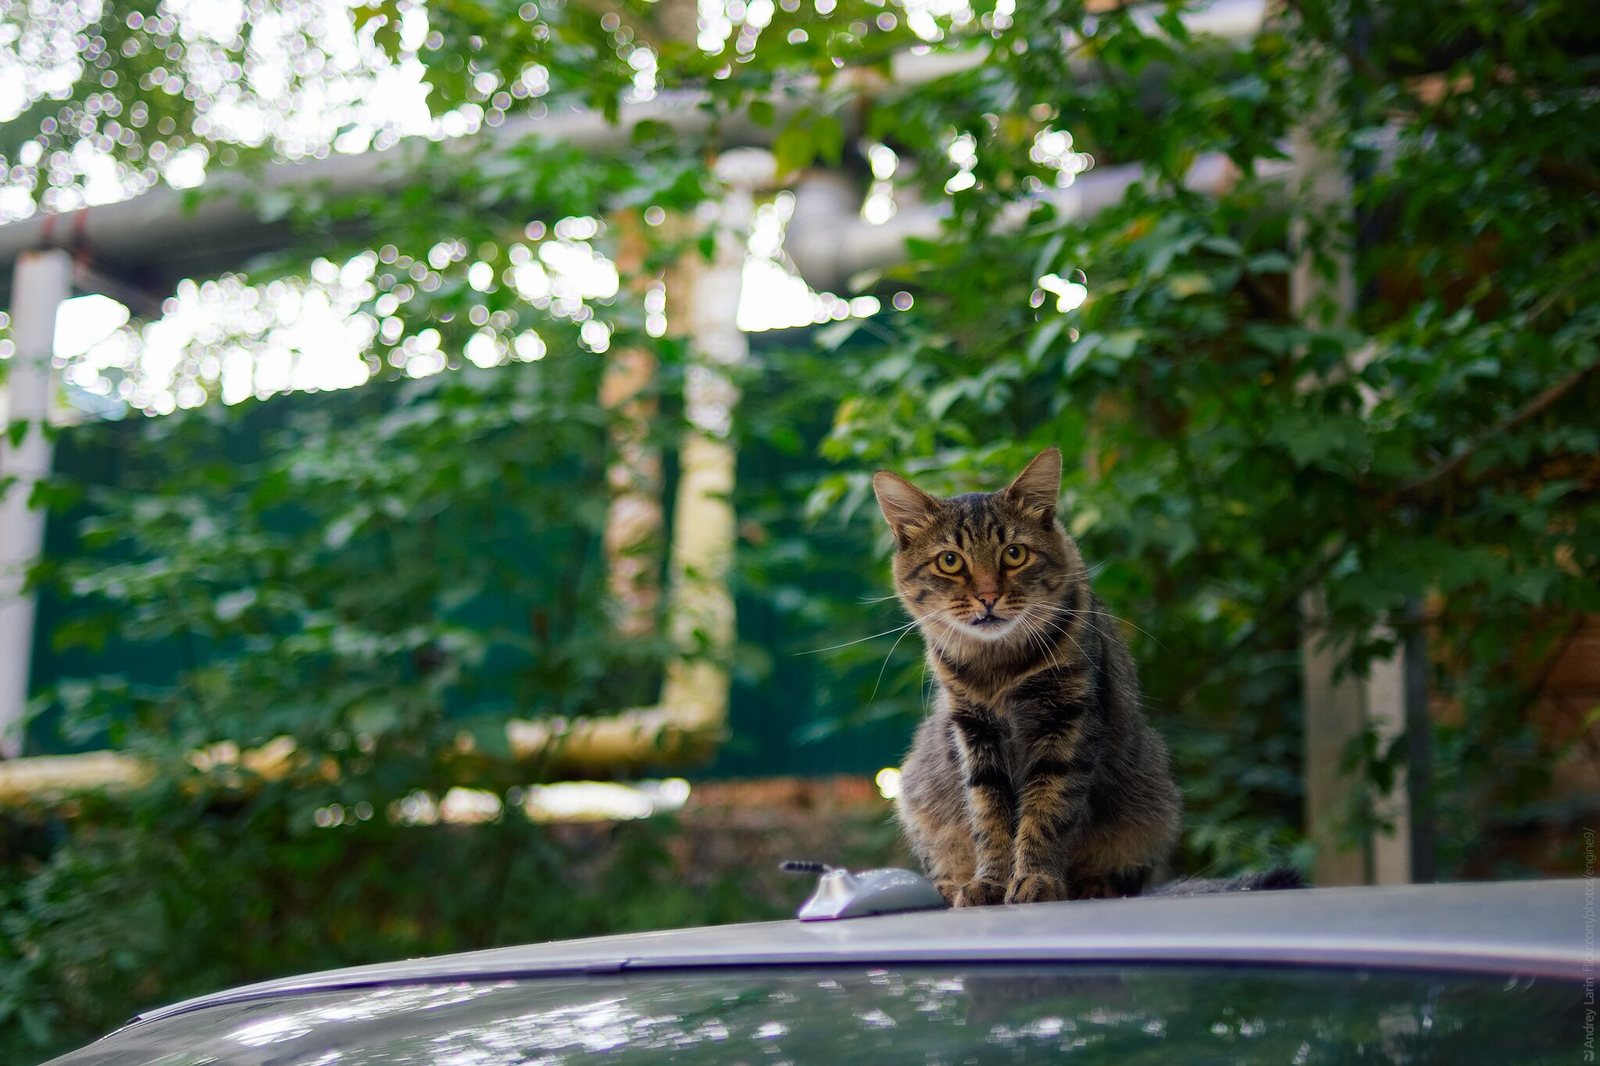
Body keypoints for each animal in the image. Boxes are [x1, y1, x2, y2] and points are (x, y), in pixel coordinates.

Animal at [870, 444, 1184, 902]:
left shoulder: (1066, 720)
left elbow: (1046, 812)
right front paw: (990, 882)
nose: (988, 597)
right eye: (950, 561)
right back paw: (949, 886)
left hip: (1152, 802)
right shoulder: (975, 732)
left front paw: (1036, 878)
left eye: (1014, 554)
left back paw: (1092, 885)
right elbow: (990, 818)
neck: (997, 666)